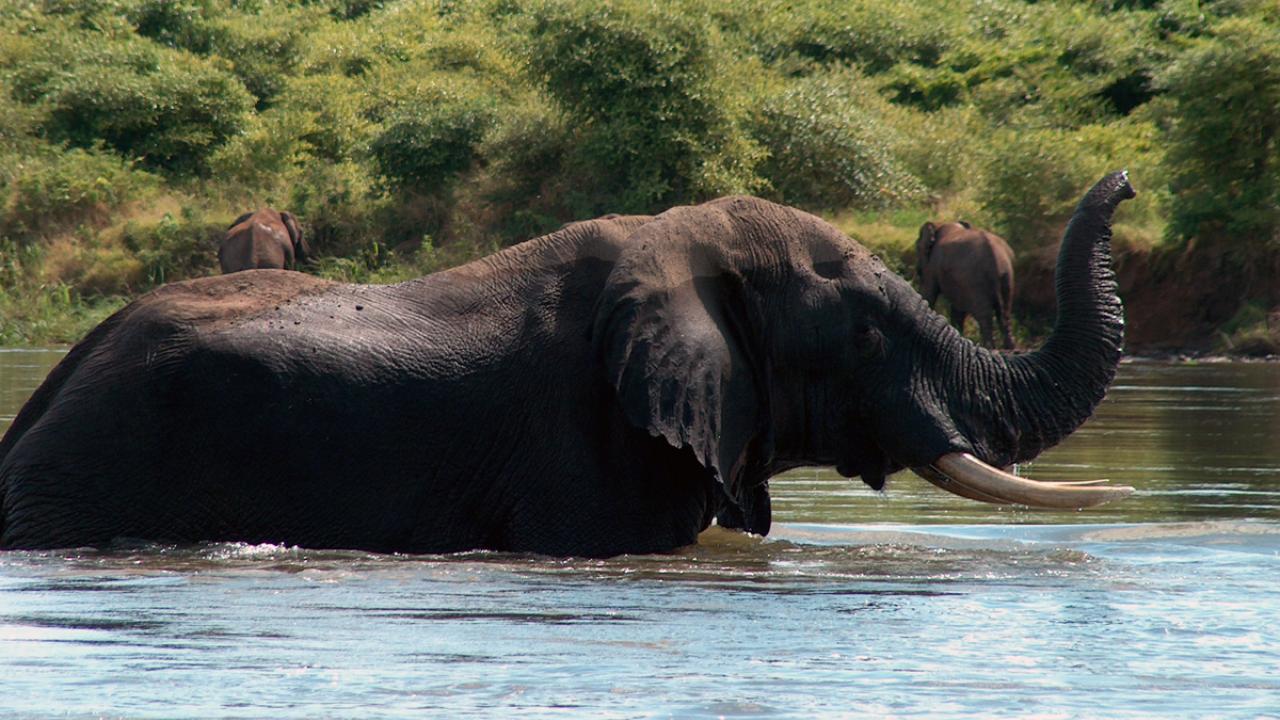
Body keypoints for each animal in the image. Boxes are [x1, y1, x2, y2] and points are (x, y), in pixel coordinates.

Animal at [916, 221, 1013, 351]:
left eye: (917, 247)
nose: (918, 270)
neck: (940, 225)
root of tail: (994, 257)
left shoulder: (932, 265)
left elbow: (928, 294)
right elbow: (957, 309)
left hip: (975, 279)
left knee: (985, 315)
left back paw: (989, 348)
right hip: (1006, 275)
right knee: (1004, 313)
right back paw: (1010, 348)